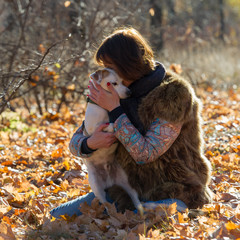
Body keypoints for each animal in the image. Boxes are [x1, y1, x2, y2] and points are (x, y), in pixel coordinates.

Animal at [83, 68, 143, 216]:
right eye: (114, 83)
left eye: (123, 81)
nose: (129, 92)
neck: (104, 109)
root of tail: (109, 181)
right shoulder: (92, 130)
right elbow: (104, 125)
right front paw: (112, 126)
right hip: (96, 186)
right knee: (106, 203)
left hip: (126, 181)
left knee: (134, 197)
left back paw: (141, 210)